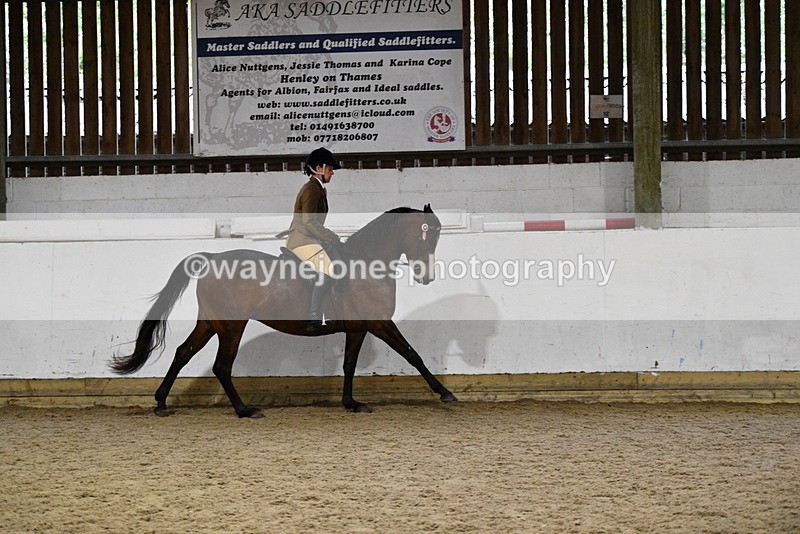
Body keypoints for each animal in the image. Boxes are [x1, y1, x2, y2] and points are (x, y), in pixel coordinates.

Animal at [110, 206, 458, 418]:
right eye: (427, 238)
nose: (426, 276)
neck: (367, 265)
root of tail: (210, 258)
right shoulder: (379, 323)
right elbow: (413, 355)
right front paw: (445, 394)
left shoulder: (358, 327)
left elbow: (349, 365)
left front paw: (351, 403)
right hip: (231, 327)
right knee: (222, 366)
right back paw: (245, 410)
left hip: (210, 322)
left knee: (183, 353)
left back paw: (160, 403)